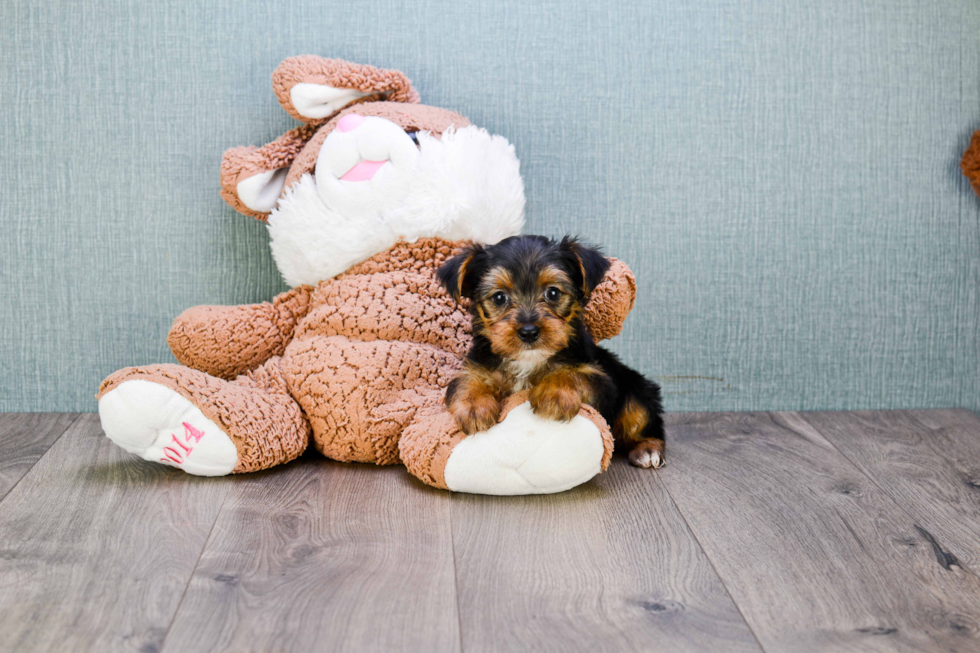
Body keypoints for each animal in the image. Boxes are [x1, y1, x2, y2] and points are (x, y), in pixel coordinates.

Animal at [436, 234, 668, 468]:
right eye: (499, 297)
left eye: (553, 293)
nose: (529, 332)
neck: (528, 360)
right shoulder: (477, 364)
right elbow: (466, 380)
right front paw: (475, 406)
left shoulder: (599, 378)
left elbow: (572, 374)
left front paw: (555, 393)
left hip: (637, 390)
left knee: (643, 419)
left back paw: (647, 449)